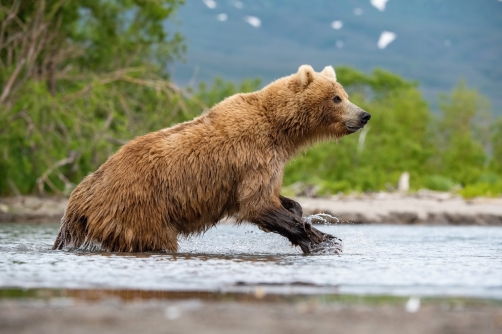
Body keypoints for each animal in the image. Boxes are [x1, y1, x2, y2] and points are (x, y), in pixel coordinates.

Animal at [53, 64, 370, 254]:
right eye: (336, 98)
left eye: (344, 94)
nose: (364, 115)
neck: (280, 131)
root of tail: (79, 196)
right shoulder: (253, 154)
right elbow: (256, 203)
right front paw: (319, 237)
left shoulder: (264, 162)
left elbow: (269, 198)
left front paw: (303, 216)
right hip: (138, 208)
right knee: (157, 240)